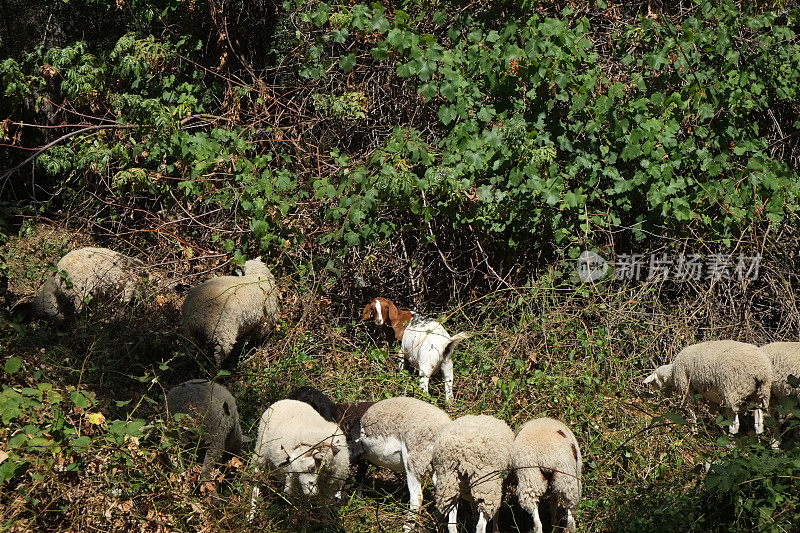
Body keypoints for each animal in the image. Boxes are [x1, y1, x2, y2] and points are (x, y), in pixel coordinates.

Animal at [640, 340, 772, 432]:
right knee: (759, 424)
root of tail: (760, 371)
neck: (672, 374)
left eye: (654, 383)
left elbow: (691, 409)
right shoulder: (712, 396)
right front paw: (714, 428)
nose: (662, 398)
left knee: (734, 426)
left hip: (732, 393)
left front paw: (694, 429)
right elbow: (712, 413)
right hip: (760, 396)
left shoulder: (687, 388)